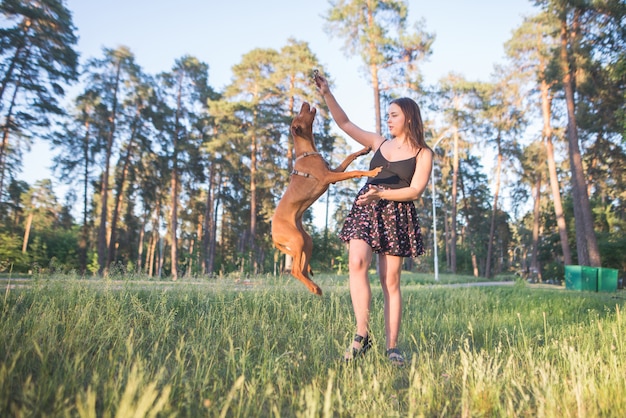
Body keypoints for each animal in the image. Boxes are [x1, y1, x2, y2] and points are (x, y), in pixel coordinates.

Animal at [272, 102, 382, 296]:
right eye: (300, 115)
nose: (305, 102)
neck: (308, 153)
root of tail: (272, 234)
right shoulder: (329, 177)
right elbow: (354, 172)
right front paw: (372, 172)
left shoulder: (334, 172)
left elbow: (348, 158)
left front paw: (363, 150)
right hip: (297, 240)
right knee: (295, 270)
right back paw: (314, 288)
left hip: (306, 241)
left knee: (302, 269)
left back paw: (313, 285)